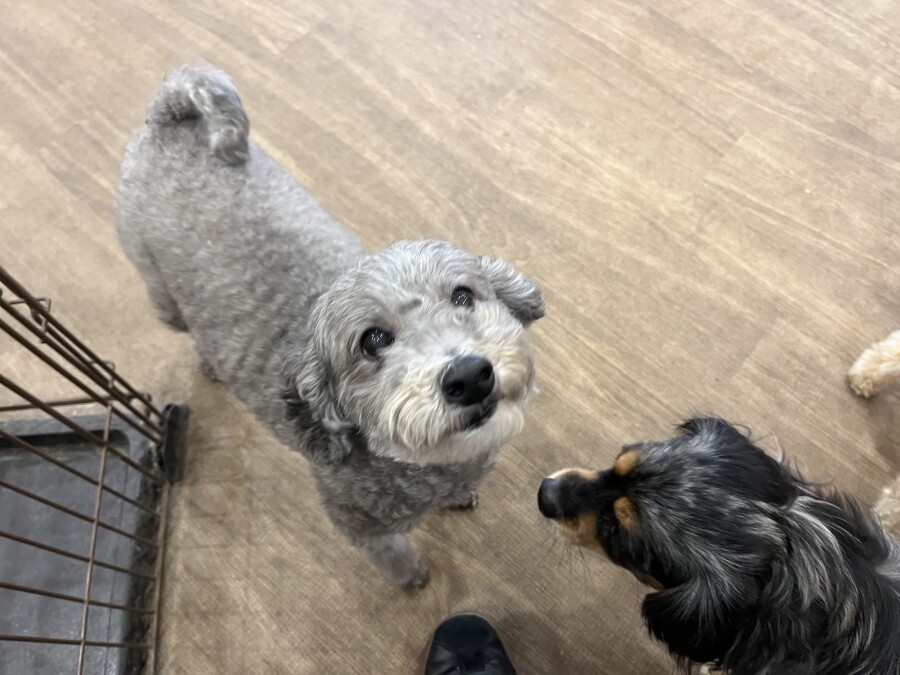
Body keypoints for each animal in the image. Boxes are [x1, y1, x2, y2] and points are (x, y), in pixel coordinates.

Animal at [115, 64, 544, 588]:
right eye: (372, 341)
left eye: (463, 295)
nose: (469, 375)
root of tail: (170, 117)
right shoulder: (357, 523)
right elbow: (393, 554)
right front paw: (413, 579)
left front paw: (460, 498)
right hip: (161, 295)